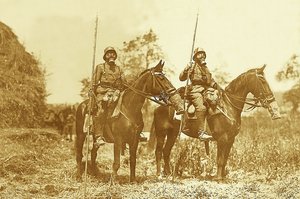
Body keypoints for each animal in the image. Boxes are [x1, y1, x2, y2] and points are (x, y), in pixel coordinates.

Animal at [152, 65, 282, 180]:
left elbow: (224, 160)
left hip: (172, 133)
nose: (271, 100)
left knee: (166, 151)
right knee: (158, 151)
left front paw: (223, 177)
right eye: (262, 81)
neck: (229, 106)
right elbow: (219, 160)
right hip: (161, 133)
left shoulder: (230, 139)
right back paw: (159, 175)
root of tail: (159, 107)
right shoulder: (222, 138)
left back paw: (168, 173)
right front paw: (218, 178)